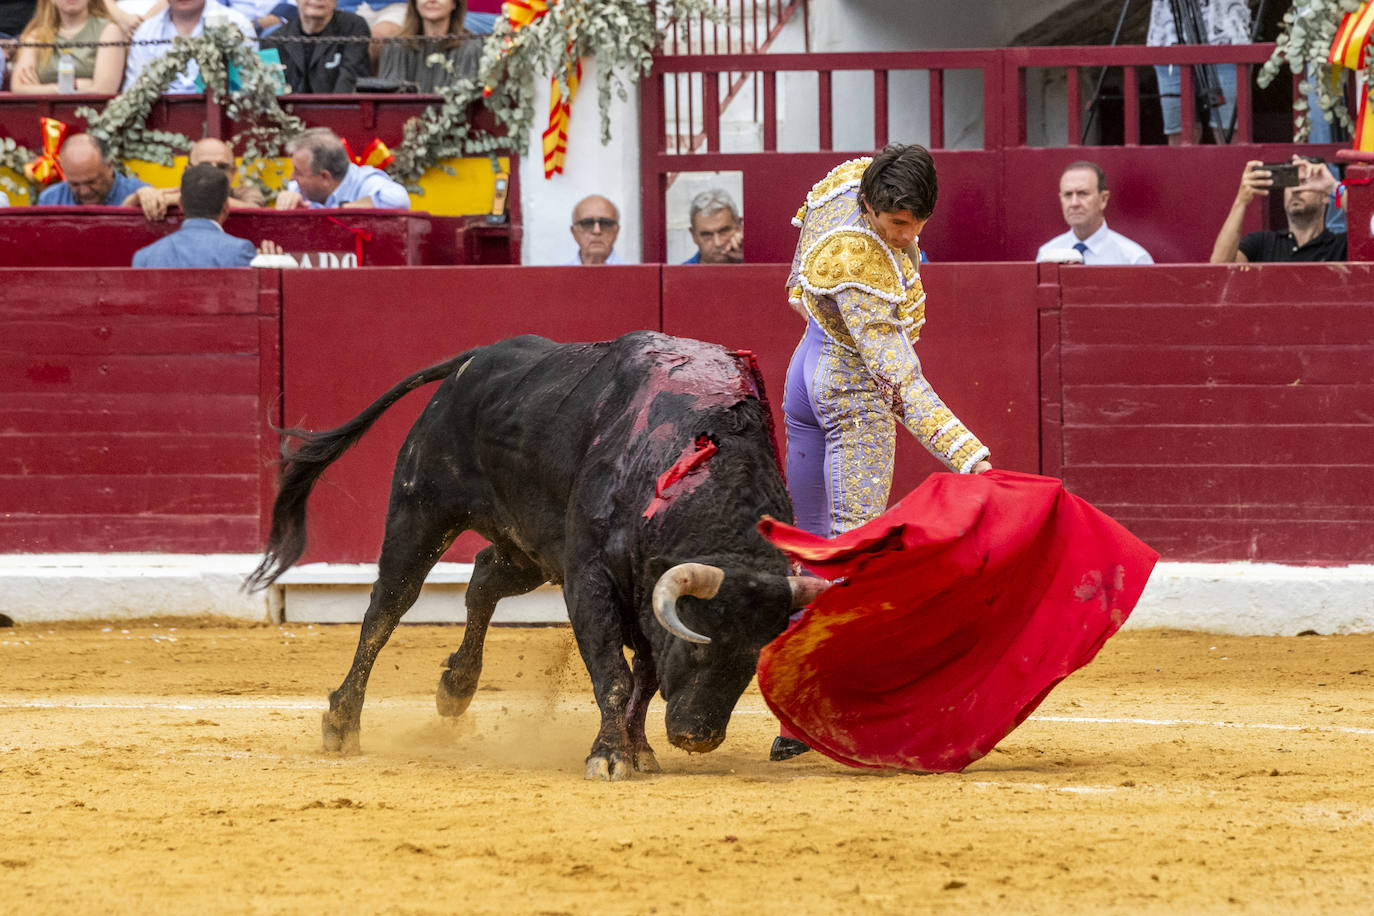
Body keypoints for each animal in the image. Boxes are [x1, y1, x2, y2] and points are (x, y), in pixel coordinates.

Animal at [244, 333, 824, 780]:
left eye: (751, 662)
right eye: (699, 650)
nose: (697, 736)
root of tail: (476, 359)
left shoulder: (641, 599)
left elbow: (643, 680)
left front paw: (637, 750)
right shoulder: (589, 581)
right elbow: (615, 676)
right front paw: (609, 757)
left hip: (529, 551)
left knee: (482, 580)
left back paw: (456, 687)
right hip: (420, 512)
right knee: (386, 609)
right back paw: (343, 722)